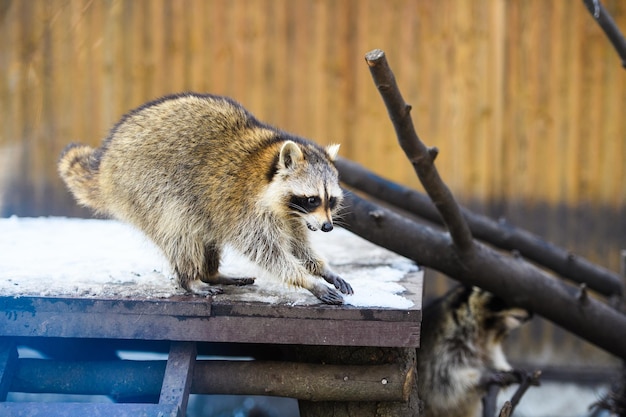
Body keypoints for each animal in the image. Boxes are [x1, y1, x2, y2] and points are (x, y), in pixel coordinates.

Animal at [58, 92, 352, 304]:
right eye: (312, 199)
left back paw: (212, 273)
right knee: (179, 229)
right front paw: (306, 280)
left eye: (331, 200)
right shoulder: (245, 207)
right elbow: (267, 252)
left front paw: (321, 268)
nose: (328, 227)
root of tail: (105, 163)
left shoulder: (291, 217)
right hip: (144, 187)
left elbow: (298, 245)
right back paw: (191, 279)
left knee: (206, 233)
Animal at [416, 286, 528, 416]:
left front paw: (506, 369)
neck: (488, 330)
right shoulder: (444, 342)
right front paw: (482, 376)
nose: (530, 315)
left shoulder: (489, 347)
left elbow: (494, 357)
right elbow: (442, 379)